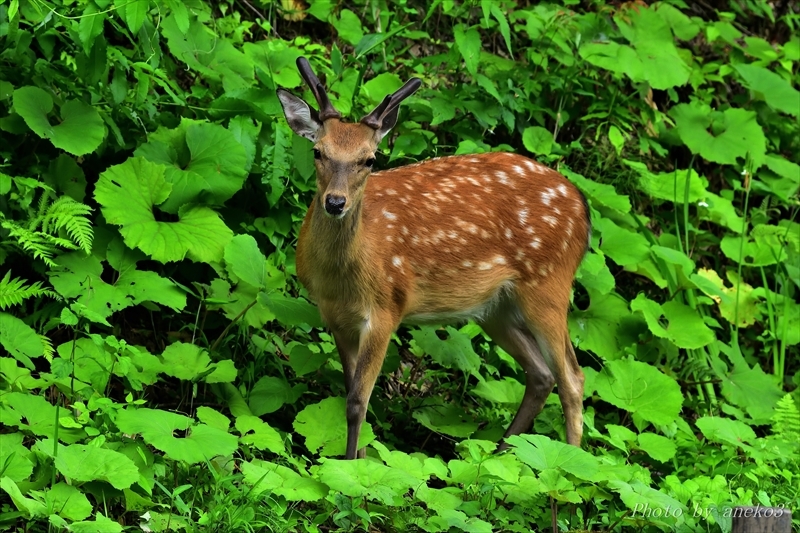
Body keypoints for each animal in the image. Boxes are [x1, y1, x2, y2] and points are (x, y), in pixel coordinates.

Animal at [278, 57, 592, 458]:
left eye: (369, 160)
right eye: (318, 151)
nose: (335, 202)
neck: (344, 275)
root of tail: (582, 207)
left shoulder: (387, 308)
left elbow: (357, 402)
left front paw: (347, 470)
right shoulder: (336, 318)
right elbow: (350, 395)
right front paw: (355, 463)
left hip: (548, 284)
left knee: (573, 377)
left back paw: (567, 465)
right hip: (496, 308)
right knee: (542, 374)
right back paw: (501, 454)